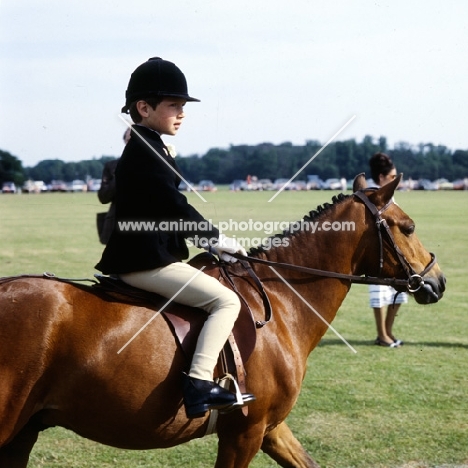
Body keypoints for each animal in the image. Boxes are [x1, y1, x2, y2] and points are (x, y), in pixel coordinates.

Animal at [0, 176, 446, 468]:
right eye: (409, 227)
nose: (438, 282)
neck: (283, 302)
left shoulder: (270, 428)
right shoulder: (244, 434)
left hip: (21, 434)